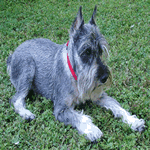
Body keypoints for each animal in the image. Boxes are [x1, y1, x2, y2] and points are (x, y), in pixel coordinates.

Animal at [6, 6, 145, 142]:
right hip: (27, 69)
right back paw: (26, 114)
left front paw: (133, 121)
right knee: (16, 99)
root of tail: (13, 55)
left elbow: (117, 107)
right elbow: (79, 117)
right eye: (87, 51)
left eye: (100, 51)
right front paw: (92, 130)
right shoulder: (61, 109)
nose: (104, 77)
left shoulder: (99, 96)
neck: (76, 75)